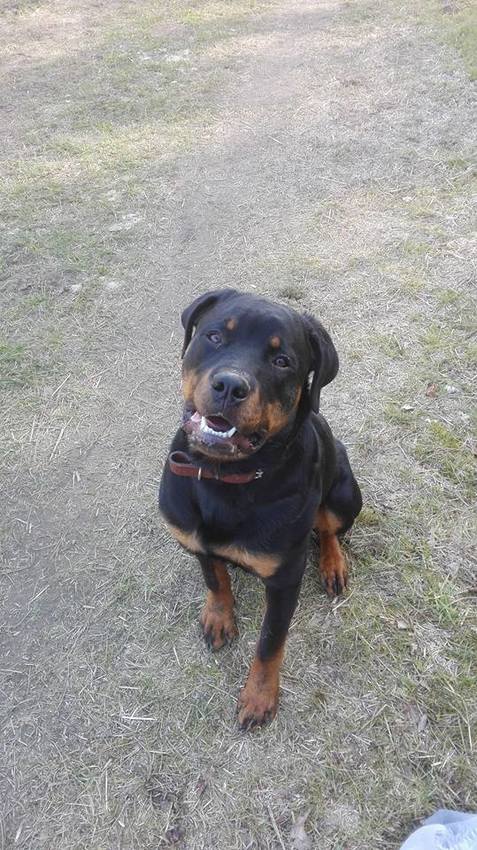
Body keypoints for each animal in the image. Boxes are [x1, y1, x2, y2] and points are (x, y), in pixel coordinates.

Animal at [159, 289, 362, 729]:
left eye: (282, 361)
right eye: (214, 336)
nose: (230, 385)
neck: (224, 478)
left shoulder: (284, 579)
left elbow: (270, 641)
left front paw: (259, 697)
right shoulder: (195, 540)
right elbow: (215, 578)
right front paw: (219, 616)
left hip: (343, 493)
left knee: (329, 529)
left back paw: (333, 565)